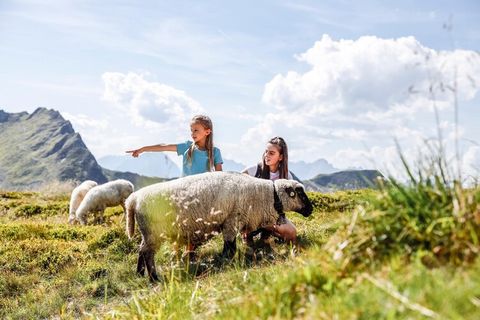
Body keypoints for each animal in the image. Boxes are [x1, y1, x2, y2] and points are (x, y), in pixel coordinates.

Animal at [124, 171, 314, 282]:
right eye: (301, 193)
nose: (311, 209)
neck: (267, 195)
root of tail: (133, 199)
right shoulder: (231, 221)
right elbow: (230, 246)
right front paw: (225, 261)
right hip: (154, 232)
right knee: (148, 253)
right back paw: (154, 278)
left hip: (147, 232)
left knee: (141, 249)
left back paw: (140, 273)